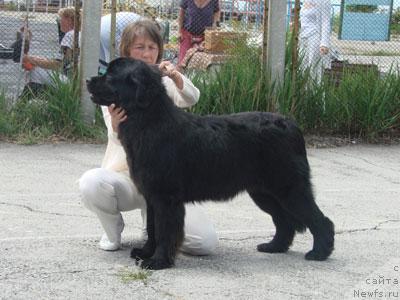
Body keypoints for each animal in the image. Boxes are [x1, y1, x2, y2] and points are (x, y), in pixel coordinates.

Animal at [86, 57, 334, 270]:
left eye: (110, 75)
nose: (88, 80)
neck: (149, 121)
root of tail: (291, 125)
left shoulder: (166, 198)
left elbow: (164, 231)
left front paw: (157, 261)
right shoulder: (152, 196)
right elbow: (152, 228)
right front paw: (146, 252)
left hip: (289, 189)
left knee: (320, 220)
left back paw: (319, 253)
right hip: (264, 192)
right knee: (284, 221)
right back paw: (274, 247)